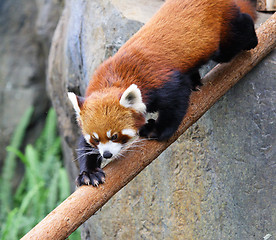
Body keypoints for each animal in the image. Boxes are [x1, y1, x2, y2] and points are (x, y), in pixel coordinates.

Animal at [68, 0, 258, 187]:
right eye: (95, 139)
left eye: (115, 136)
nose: (106, 154)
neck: (113, 79)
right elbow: (83, 145)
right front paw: (89, 173)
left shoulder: (161, 81)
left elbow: (175, 102)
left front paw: (156, 130)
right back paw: (195, 81)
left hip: (222, 34)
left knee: (236, 36)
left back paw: (252, 39)